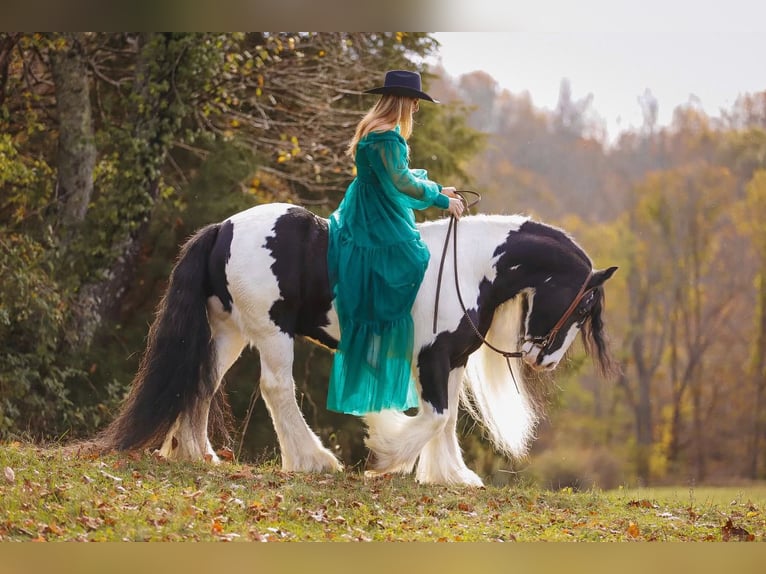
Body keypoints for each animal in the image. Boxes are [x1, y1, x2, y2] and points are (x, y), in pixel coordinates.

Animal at [97, 202, 616, 486]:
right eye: (585, 306)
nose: (544, 359)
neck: (468, 267)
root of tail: (223, 228)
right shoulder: (430, 359)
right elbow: (435, 417)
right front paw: (384, 452)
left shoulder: (450, 360)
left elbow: (446, 420)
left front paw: (450, 475)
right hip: (271, 332)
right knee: (276, 390)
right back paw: (313, 461)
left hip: (229, 331)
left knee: (201, 383)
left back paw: (198, 453)